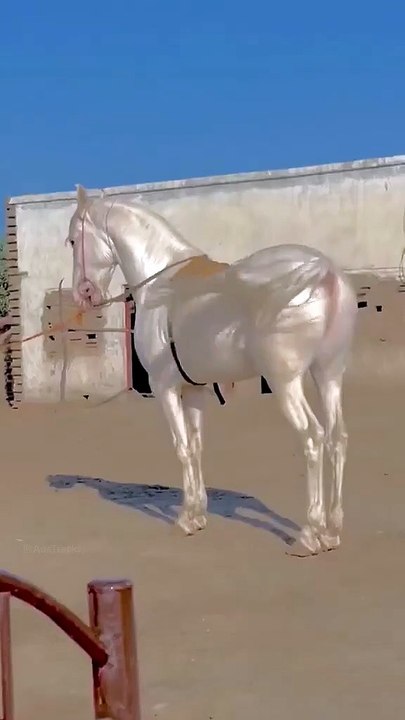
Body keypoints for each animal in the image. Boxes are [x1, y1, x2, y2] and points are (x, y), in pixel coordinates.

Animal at [67, 184, 357, 555]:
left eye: (73, 240)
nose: (83, 294)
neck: (161, 283)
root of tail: (325, 273)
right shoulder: (194, 390)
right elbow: (196, 446)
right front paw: (197, 515)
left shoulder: (164, 388)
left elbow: (181, 447)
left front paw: (183, 520)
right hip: (328, 375)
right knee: (337, 438)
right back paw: (332, 531)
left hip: (287, 383)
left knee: (312, 437)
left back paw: (310, 534)